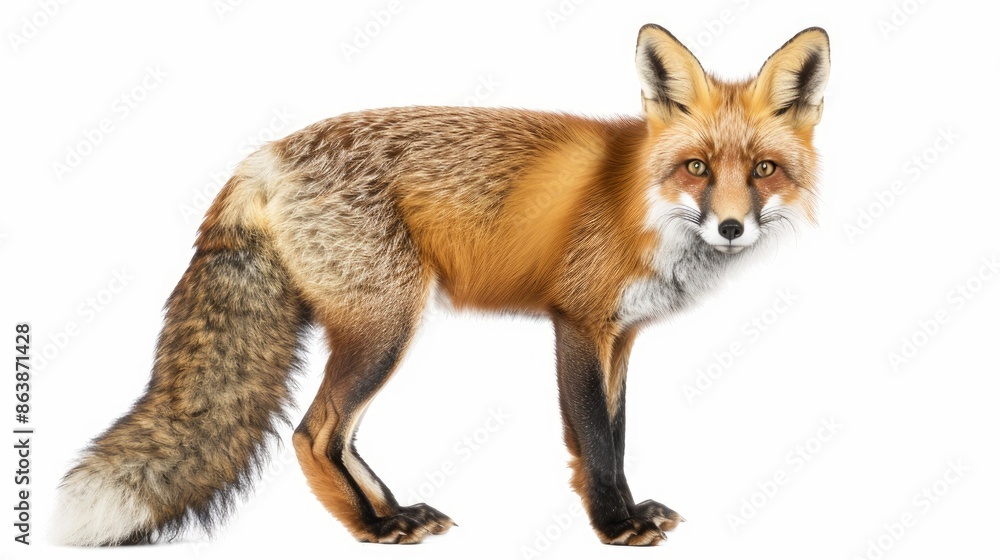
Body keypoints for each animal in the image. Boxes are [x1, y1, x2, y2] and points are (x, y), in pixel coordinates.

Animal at [53, 24, 829, 547]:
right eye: (697, 167)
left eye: (763, 170)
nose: (731, 228)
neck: (643, 203)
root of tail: (264, 157)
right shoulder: (577, 323)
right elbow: (596, 440)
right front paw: (614, 526)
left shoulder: (622, 336)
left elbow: (612, 435)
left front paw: (624, 511)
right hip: (387, 327)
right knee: (313, 433)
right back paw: (371, 530)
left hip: (380, 327)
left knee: (338, 437)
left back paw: (393, 513)